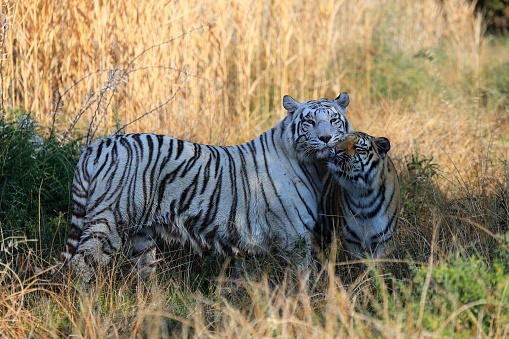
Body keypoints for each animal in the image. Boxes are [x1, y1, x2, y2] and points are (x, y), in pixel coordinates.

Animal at [59, 92, 352, 282]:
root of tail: (96, 145)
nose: (326, 138)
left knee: (142, 272)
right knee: (80, 265)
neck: (314, 164)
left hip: (141, 235)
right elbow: (302, 277)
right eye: (310, 122)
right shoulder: (294, 236)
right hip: (110, 221)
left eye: (334, 120)